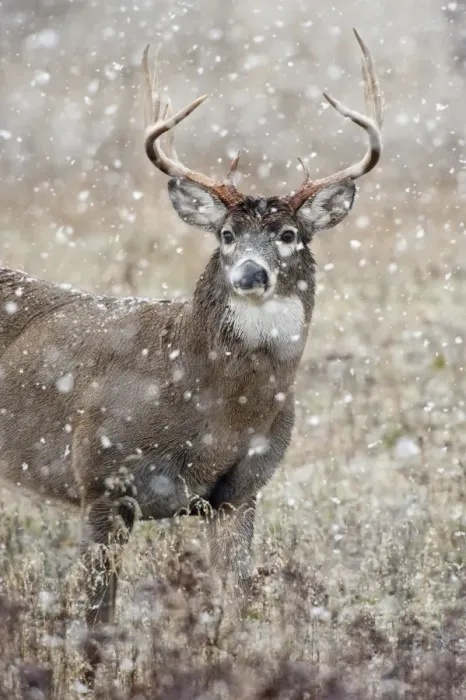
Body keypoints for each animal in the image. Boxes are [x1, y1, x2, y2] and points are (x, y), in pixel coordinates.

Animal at [0, 29, 383, 629]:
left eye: (290, 235)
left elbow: (235, 606)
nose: (251, 273)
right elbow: (97, 616)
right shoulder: (100, 479)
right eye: (226, 235)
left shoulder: (240, 493)